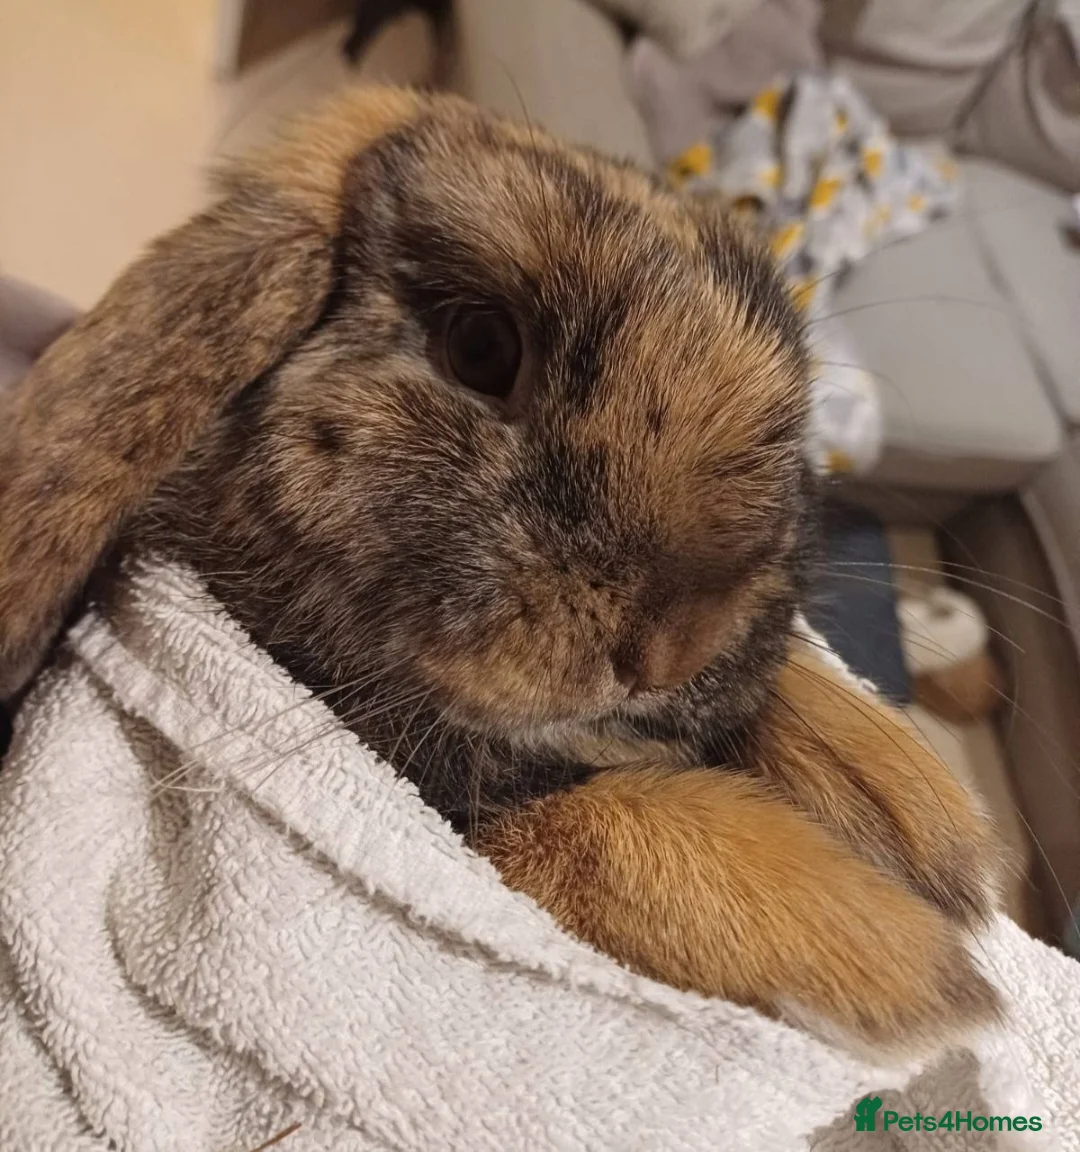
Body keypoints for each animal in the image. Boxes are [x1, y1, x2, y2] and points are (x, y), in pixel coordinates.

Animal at [0, 86, 1001, 1059]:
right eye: (480, 346)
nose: (675, 645)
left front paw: (926, 824)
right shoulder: (429, 792)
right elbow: (583, 822)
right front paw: (907, 970)